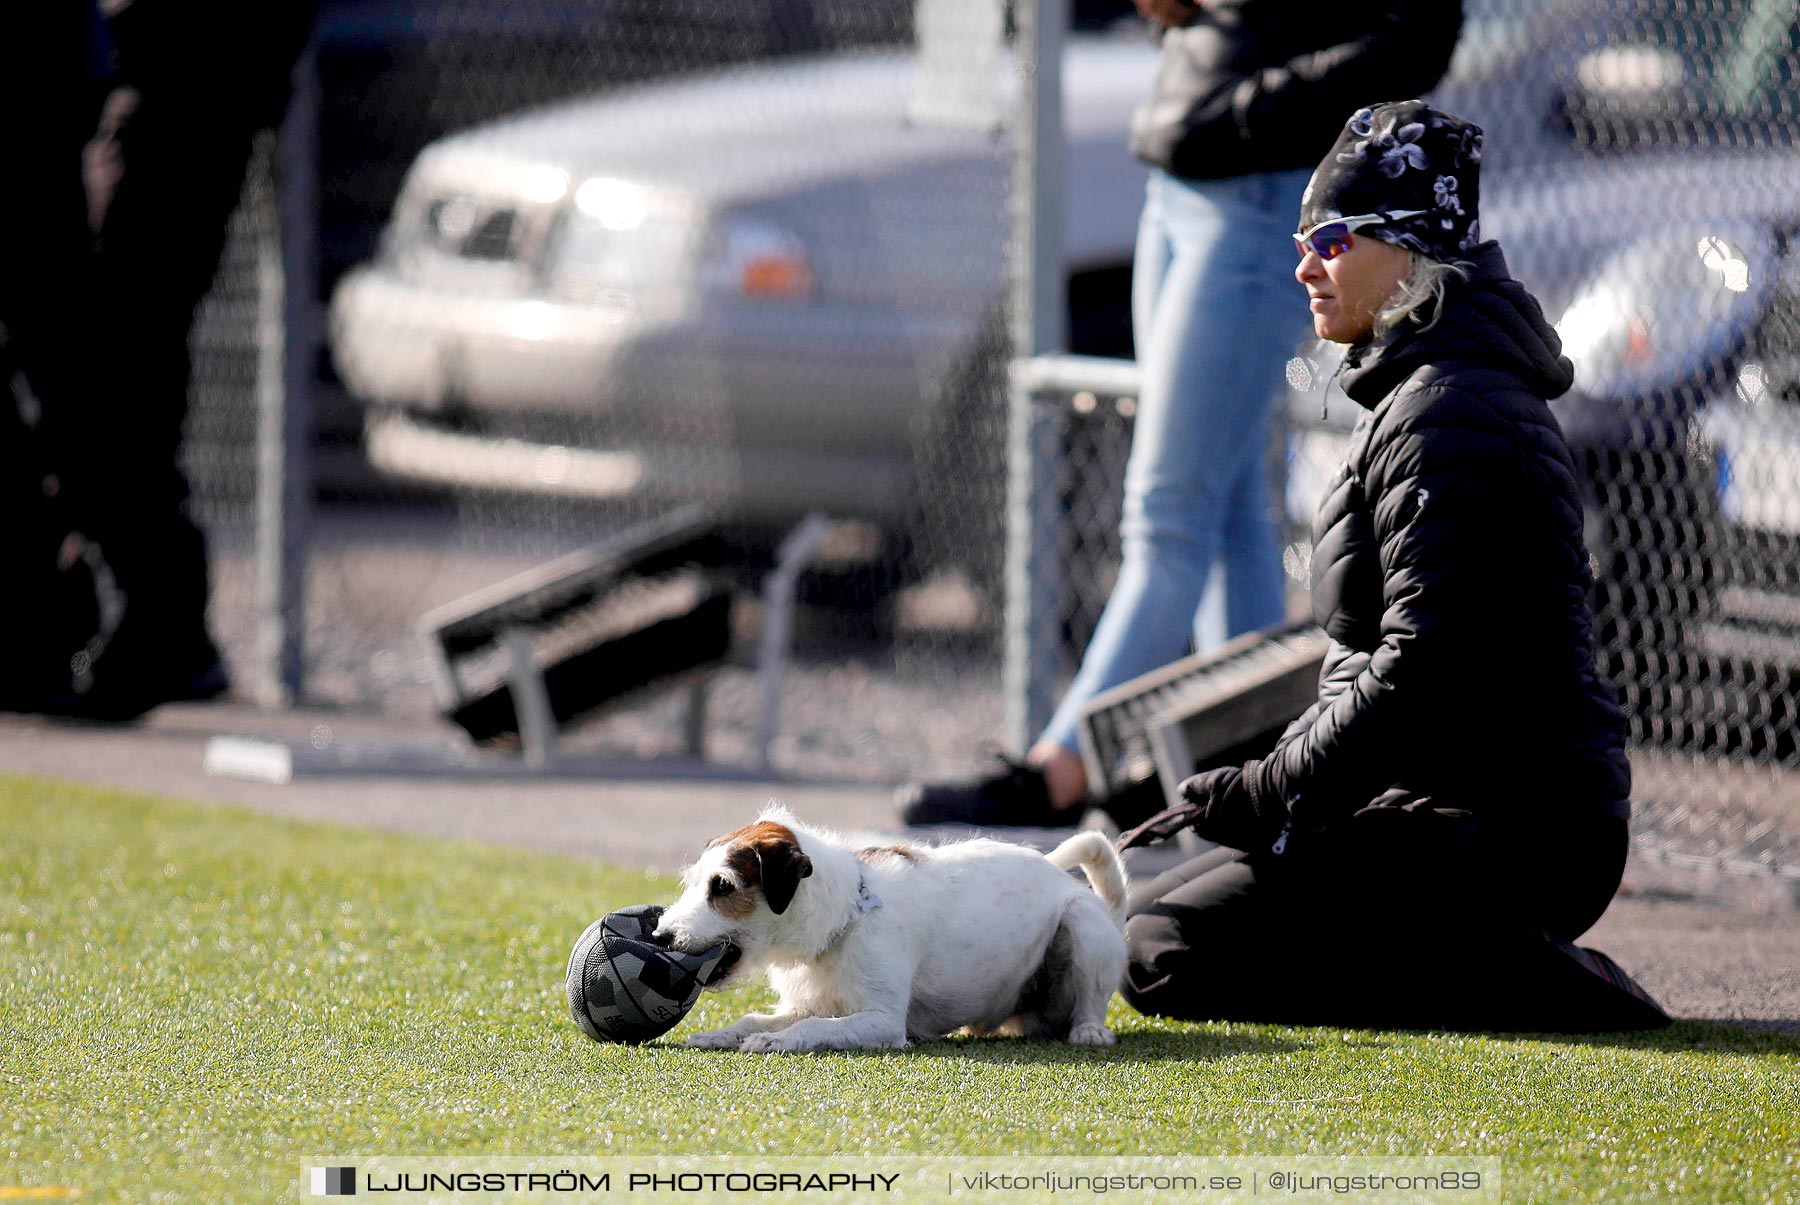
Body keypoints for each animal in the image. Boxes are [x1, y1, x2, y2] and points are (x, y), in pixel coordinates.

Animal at [655, 806, 1123, 1051]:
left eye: (723, 886)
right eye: (693, 882)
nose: (660, 937)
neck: (847, 916)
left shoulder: (882, 1021)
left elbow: (816, 1028)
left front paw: (777, 1042)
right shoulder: (809, 1003)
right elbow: (753, 1018)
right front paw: (720, 1034)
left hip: (1083, 925)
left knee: (1091, 1000)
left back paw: (1088, 1030)